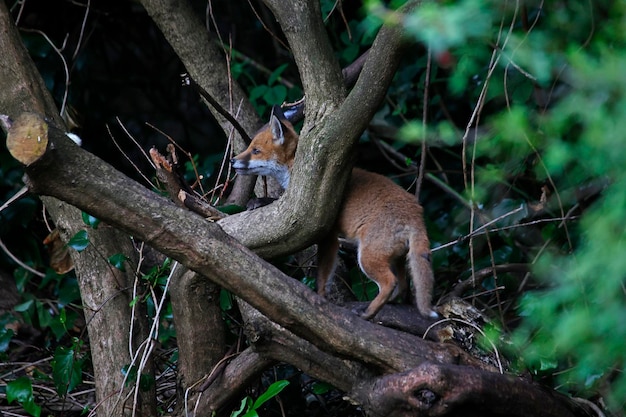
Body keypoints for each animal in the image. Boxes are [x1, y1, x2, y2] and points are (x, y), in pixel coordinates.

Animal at [230, 107, 438, 318]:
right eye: (250, 147)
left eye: (255, 151)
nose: (232, 160)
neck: (294, 167)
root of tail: (416, 212)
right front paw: (257, 202)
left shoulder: (327, 234)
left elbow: (323, 277)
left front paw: (320, 300)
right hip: (396, 258)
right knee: (403, 288)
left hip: (367, 257)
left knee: (390, 283)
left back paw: (368, 313)